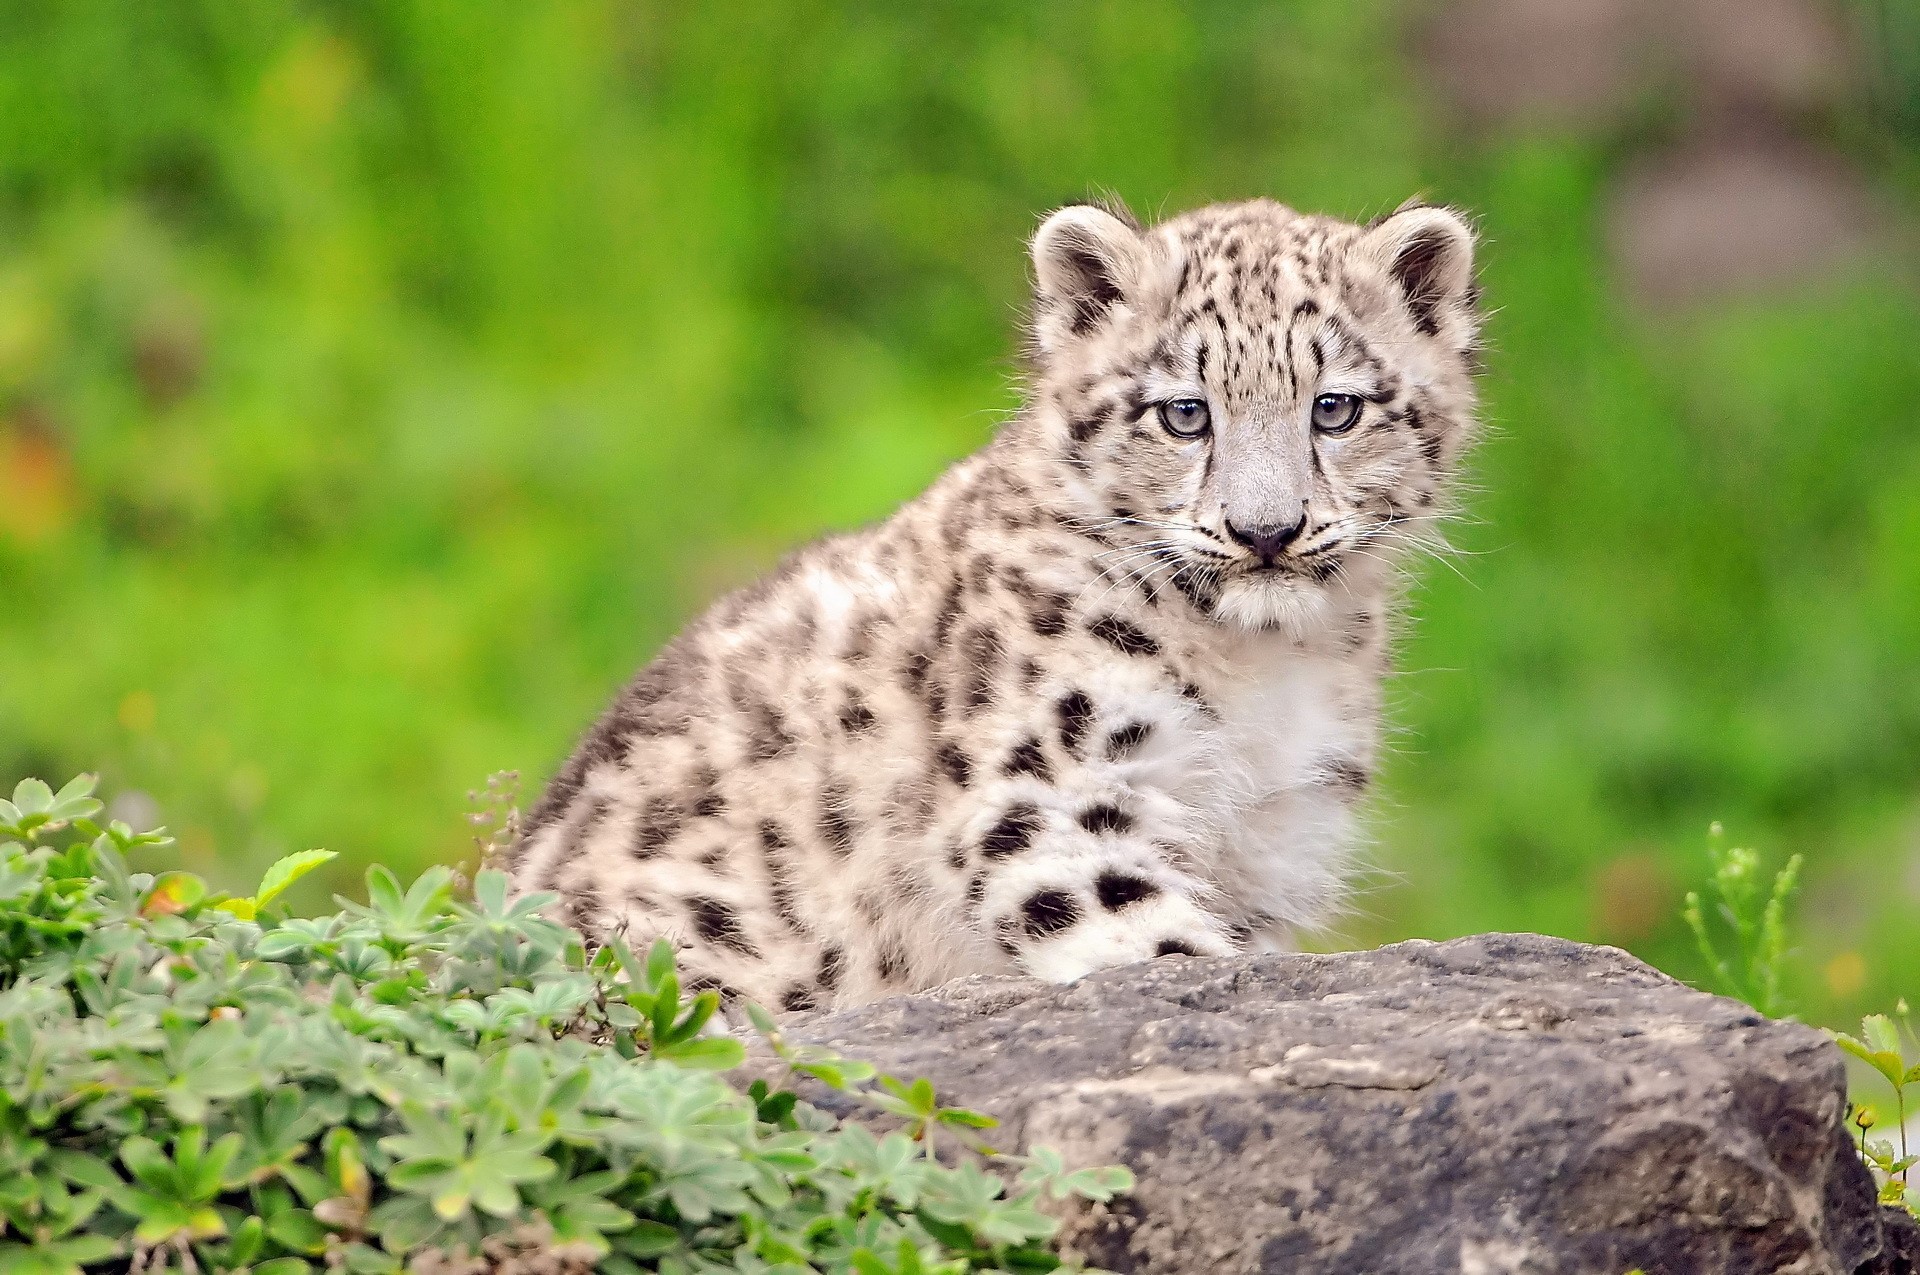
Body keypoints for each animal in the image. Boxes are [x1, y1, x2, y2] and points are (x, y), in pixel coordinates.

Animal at [508, 194, 1482, 1013]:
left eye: (1335, 408)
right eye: (1183, 413)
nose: (1266, 531)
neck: (1265, 668)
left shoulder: (1274, 836)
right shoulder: (1052, 790)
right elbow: (1148, 937)